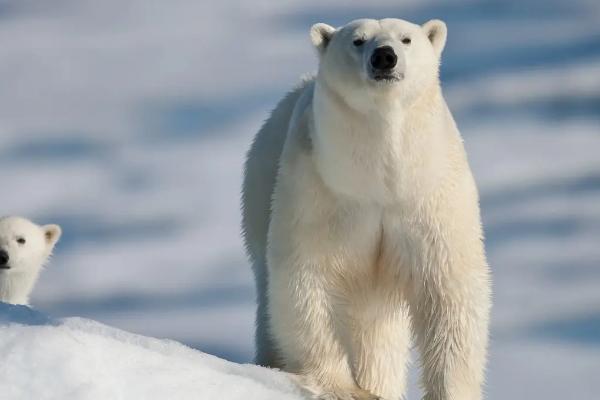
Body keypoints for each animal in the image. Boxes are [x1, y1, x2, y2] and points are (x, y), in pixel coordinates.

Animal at [241, 17, 490, 398]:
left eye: (406, 38)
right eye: (358, 41)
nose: (385, 57)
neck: (379, 178)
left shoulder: (428, 196)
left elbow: (449, 288)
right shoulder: (322, 190)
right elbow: (307, 276)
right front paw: (342, 386)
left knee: (378, 329)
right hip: (259, 197)